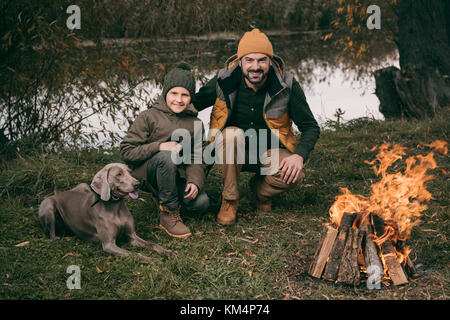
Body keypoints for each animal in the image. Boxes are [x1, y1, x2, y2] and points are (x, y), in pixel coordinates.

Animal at [37, 164, 175, 262]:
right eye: (118, 174)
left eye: (130, 172)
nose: (137, 184)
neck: (115, 207)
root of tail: (58, 193)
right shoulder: (109, 245)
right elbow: (134, 254)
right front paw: (152, 259)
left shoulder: (132, 236)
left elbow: (152, 244)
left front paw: (168, 252)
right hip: (48, 205)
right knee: (52, 237)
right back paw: (66, 238)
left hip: (84, 186)